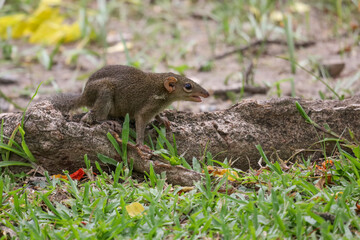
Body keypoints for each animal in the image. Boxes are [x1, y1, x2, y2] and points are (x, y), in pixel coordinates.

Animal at [50, 64, 208, 145]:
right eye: (188, 86)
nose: (207, 93)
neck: (160, 90)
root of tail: (84, 95)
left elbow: (157, 116)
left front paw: (164, 120)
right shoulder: (145, 109)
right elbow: (140, 125)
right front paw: (141, 146)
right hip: (105, 91)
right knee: (93, 117)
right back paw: (108, 121)